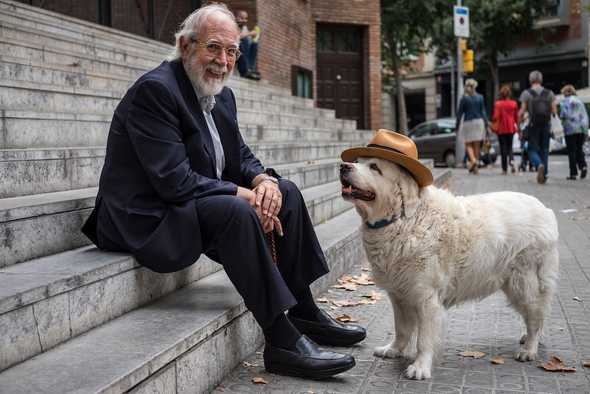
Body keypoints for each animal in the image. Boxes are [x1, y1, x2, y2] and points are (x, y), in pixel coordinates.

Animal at [342, 131, 560, 380]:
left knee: (536, 315)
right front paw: (394, 349)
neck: (402, 219)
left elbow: (424, 338)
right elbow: (402, 329)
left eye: (375, 167)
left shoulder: (426, 297)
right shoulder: (399, 294)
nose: (343, 166)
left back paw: (529, 348)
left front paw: (420, 367)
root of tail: (545, 210)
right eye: (358, 161)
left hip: (523, 282)